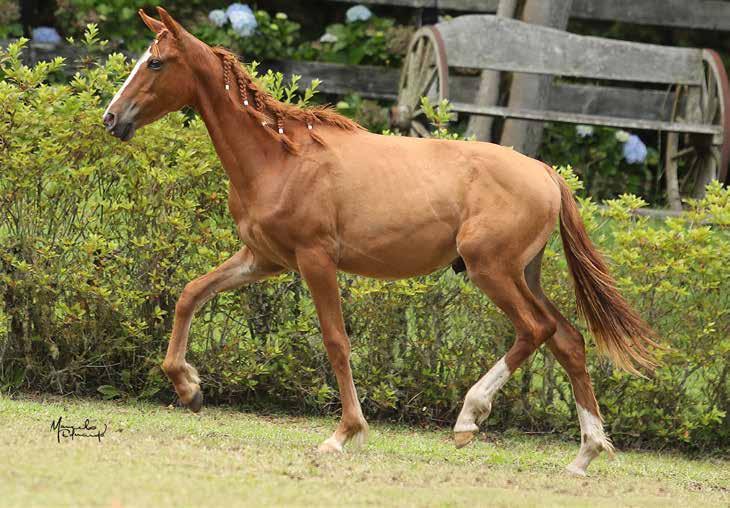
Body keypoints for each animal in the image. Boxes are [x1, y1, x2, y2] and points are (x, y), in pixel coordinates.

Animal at [105, 7, 656, 476]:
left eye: (155, 62)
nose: (112, 118)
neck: (279, 159)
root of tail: (546, 173)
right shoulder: (263, 258)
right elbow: (190, 294)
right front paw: (188, 388)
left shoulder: (315, 259)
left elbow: (336, 340)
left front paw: (343, 434)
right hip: (524, 273)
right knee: (568, 340)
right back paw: (585, 454)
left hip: (491, 270)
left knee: (535, 330)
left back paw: (469, 418)